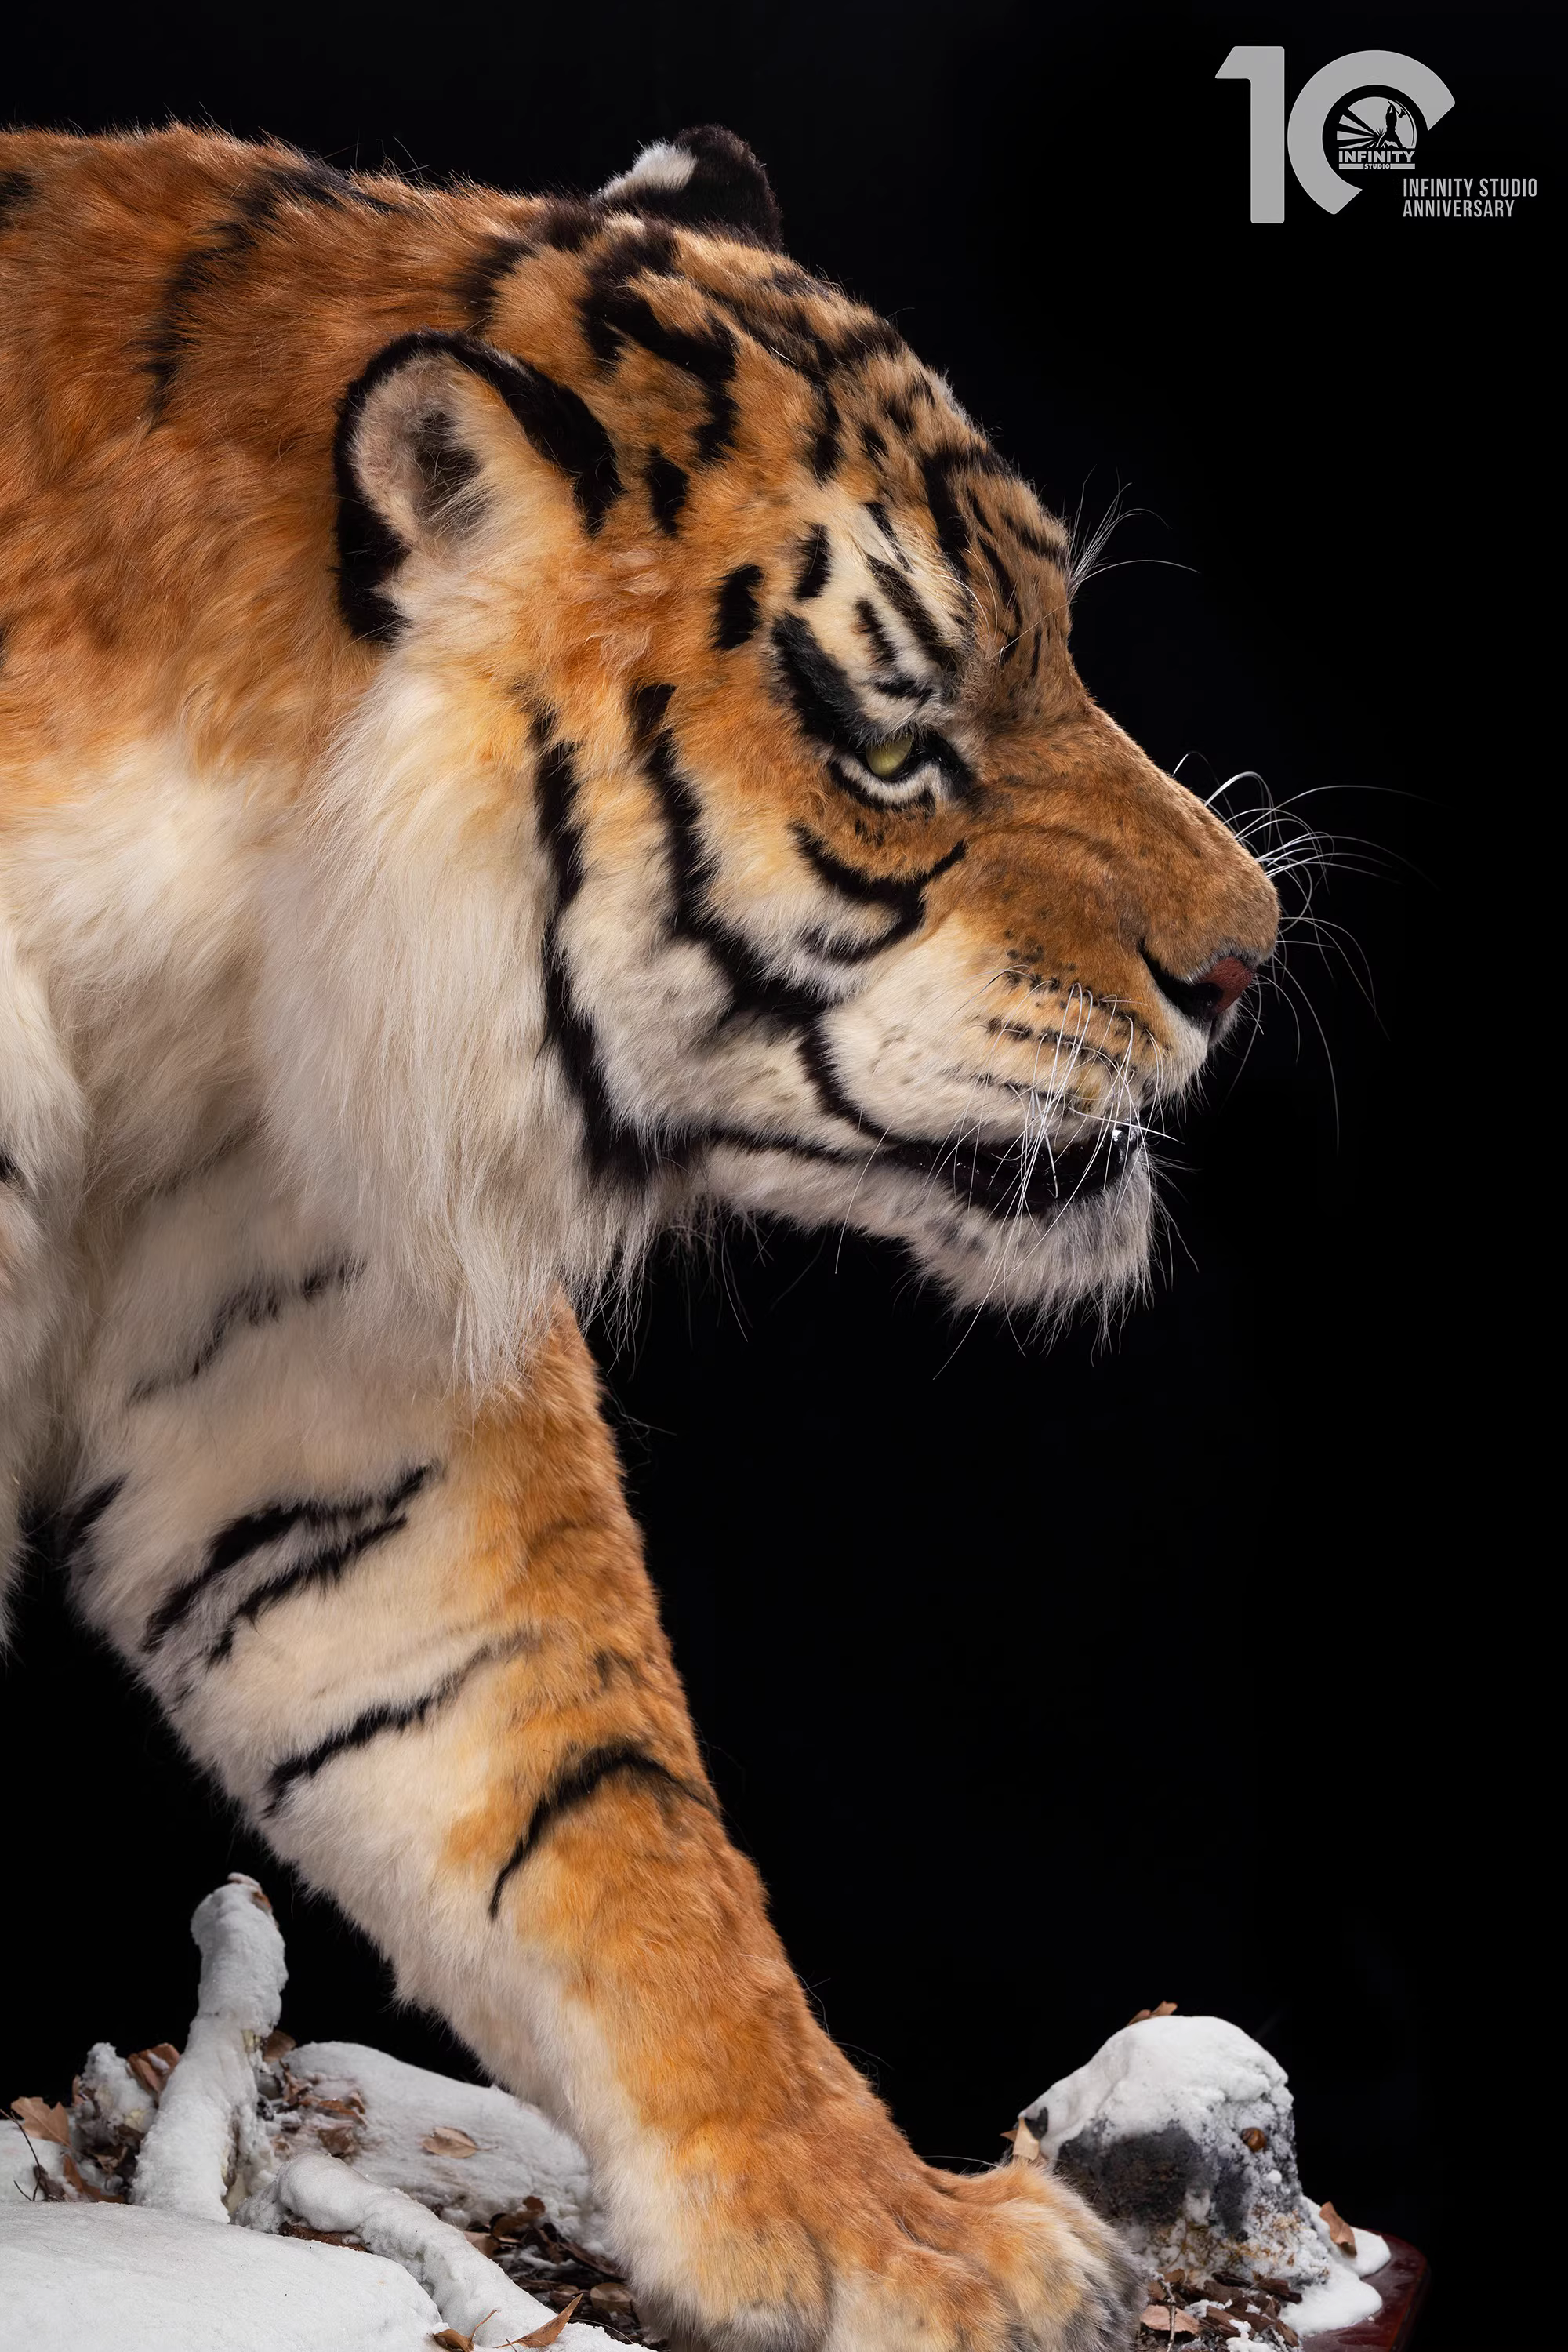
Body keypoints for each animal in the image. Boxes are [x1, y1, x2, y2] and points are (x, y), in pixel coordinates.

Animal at [0, 121, 1276, 2350]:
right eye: (895, 744)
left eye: (1062, 644)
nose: (1254, 957)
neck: (208, 965)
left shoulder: (317, 1354)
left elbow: (582, 1796)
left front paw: (898, 2234)